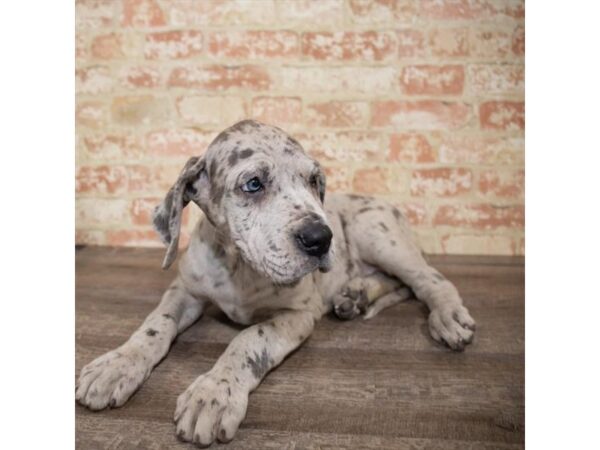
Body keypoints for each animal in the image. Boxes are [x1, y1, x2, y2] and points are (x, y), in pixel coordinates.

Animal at [76, 118, 478, 446]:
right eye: (253, 184)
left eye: (314, 181)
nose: (321, 238)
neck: (238, 266)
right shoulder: (184, 291)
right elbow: (154, 325)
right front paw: (116, 365)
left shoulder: (298, 314)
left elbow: (249, 339)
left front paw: (214, 393)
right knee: (395, 281)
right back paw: (356, 295)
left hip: (379, 236)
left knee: (428, 280)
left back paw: (448, 317)